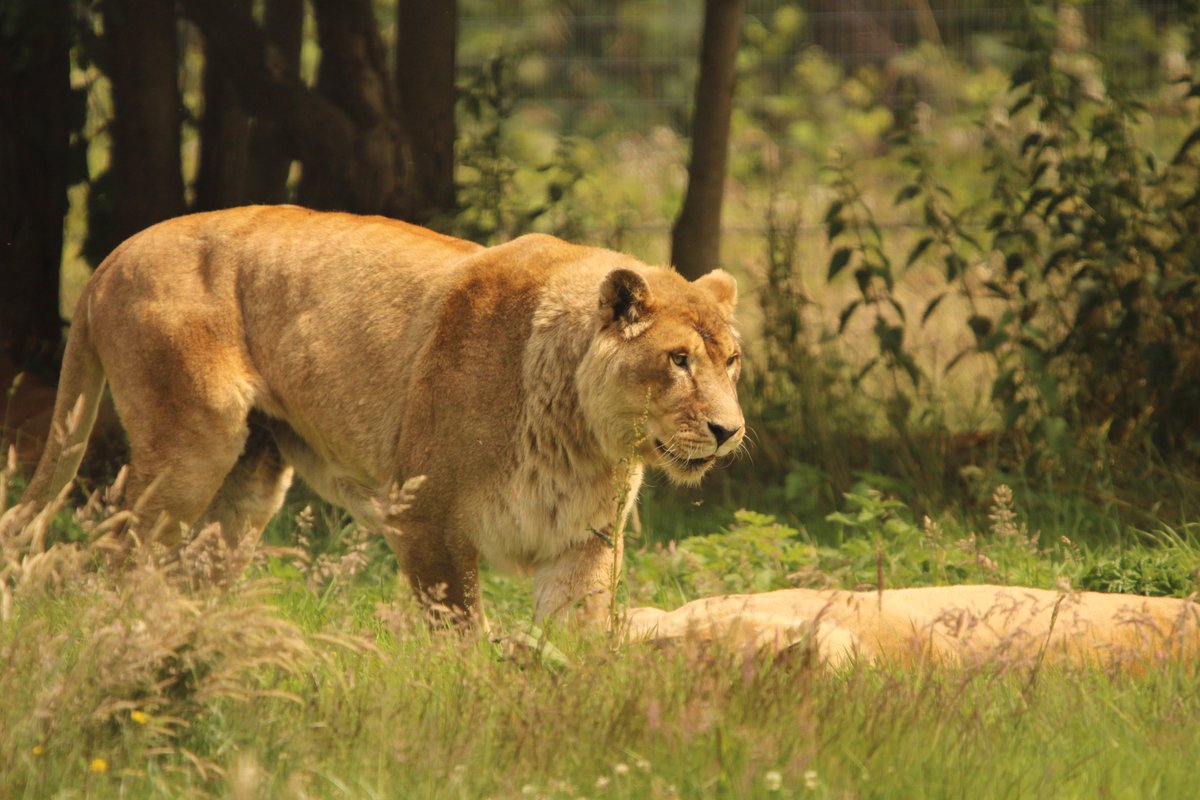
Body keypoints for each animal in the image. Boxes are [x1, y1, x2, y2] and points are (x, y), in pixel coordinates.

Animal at [6, 205, 744, 624]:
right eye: (679, 360)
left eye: (732, 361)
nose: (728, 431)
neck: (581, 436)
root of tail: (110, 259)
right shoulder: (426, 522)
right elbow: (460, 640)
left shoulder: (581, 544)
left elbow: (577, 649)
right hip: (189, 446)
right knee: (104, 557)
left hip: (247, 484)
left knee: (185, 575)